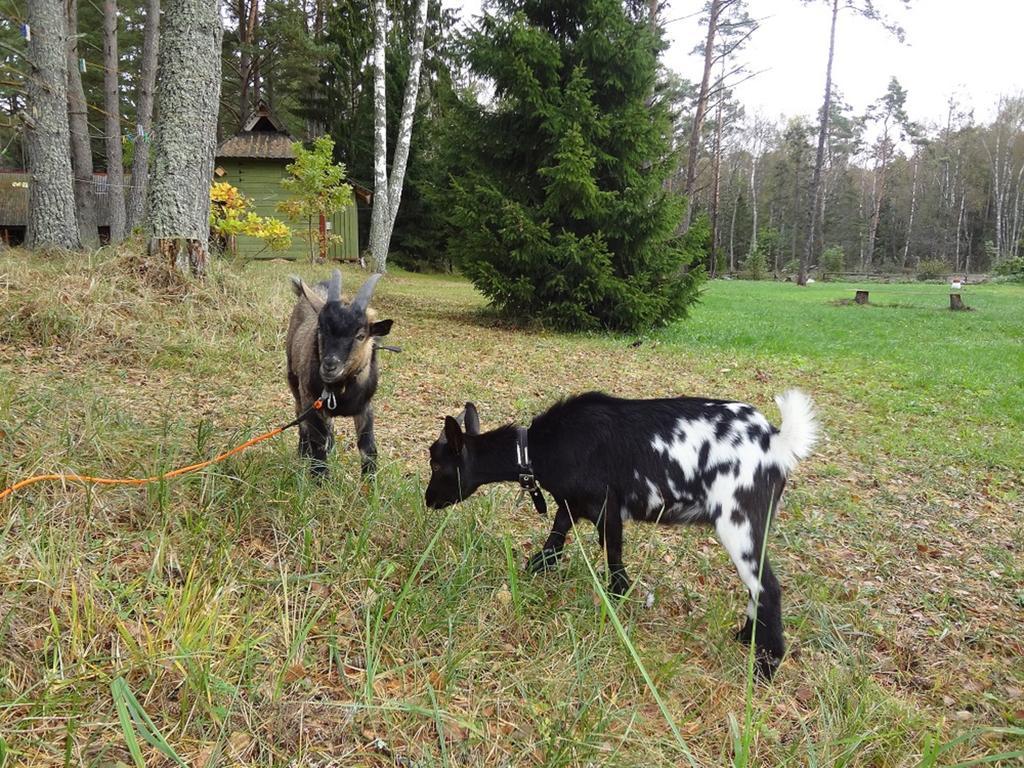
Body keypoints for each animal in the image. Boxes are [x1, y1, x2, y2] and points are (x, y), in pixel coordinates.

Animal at [286, 268, 393, 475]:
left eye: (361, 335)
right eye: (320, 328)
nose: (329, 366)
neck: (340, 390)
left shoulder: (365, 407)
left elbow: (368, 448)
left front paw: (370, 481)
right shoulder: (311, 401)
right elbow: (317, 444)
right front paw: (320, 477)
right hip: (294, 382)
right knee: (301, 419)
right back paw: (302, 453)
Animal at [421, 391, 815, 679]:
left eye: (438, 464)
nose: (428, 500)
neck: (538, 448)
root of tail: (776, 442)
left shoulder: (607, 509)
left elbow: (614, 562)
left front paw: (615, 605)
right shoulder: (571, 504)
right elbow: (556, 537)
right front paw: (534, 568)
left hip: (738, 518)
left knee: (767, 586)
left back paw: (765, 668)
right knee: (756, 586)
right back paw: (745, 638)